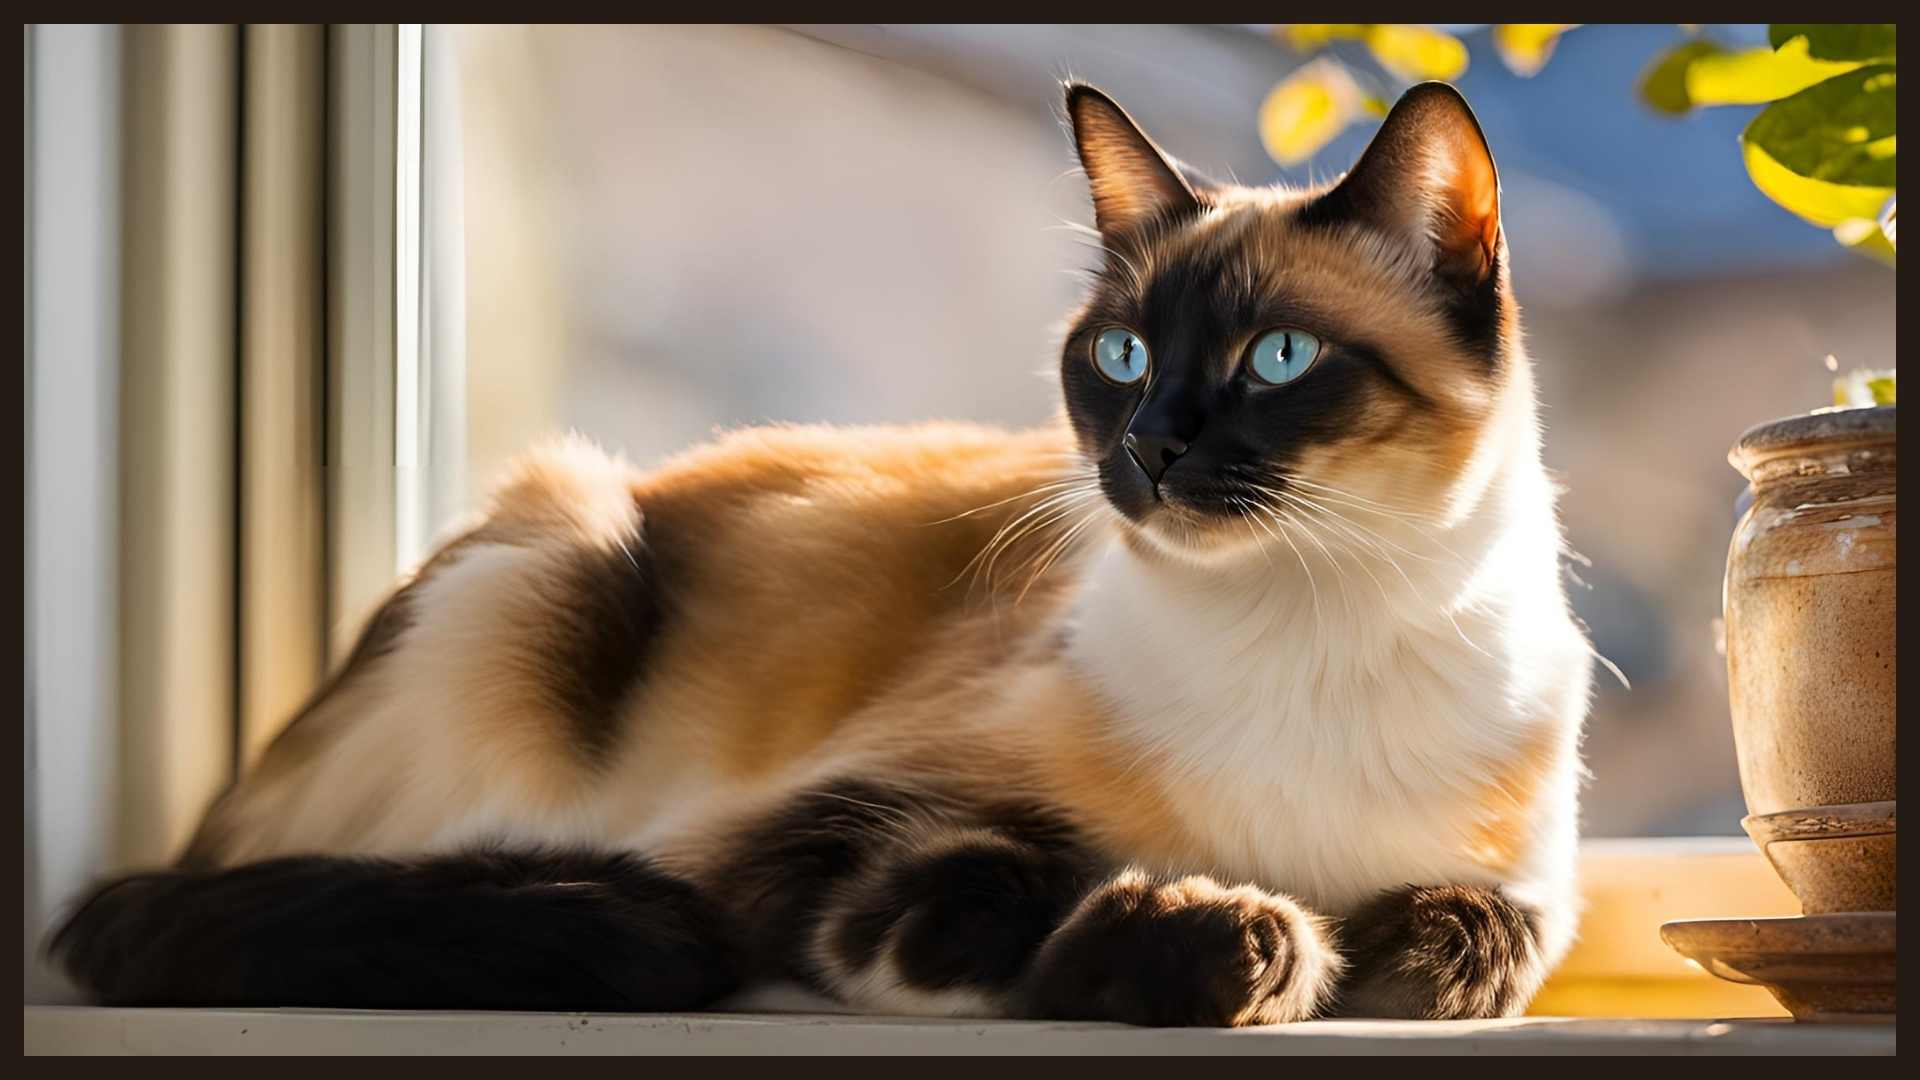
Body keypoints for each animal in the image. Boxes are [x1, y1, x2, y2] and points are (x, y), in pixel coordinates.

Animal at [56, 79, 1589, 1022]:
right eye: (1121, 355)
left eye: (1278, 358)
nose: (1146, 449)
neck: (1308, 625)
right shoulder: (805, 839)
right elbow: (992, 897)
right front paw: (1226, 938)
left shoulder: (1521, 899)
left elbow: (1463, 940)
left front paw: (1343, 945)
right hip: (549, 570)